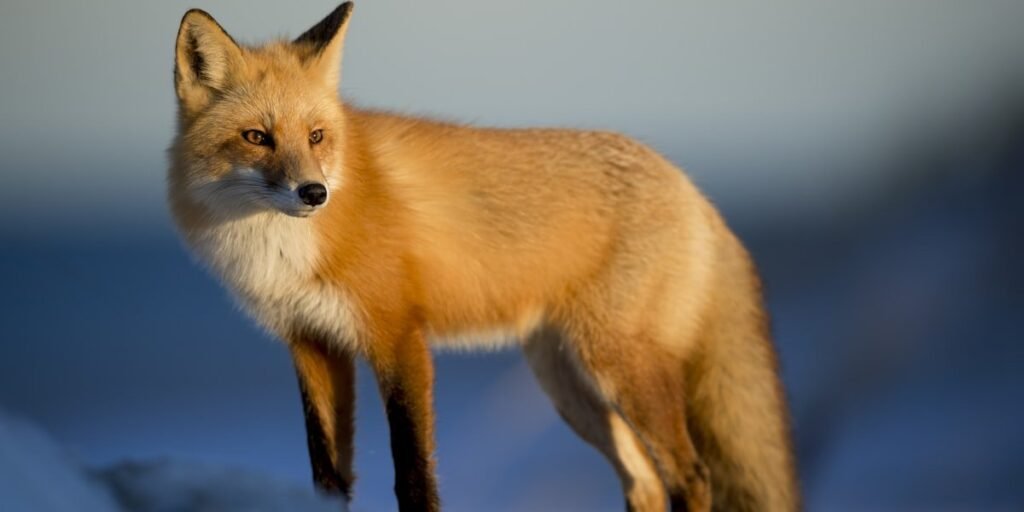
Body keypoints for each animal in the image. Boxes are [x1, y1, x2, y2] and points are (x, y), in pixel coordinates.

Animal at [168, 2, 798, 511]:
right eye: (257, 137)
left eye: (317, 136)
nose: (314, 193)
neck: (282, 251)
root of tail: (691, 187)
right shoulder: (312, 344)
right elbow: (327, 477)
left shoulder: (399, 338)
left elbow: (414, 477)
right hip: (569, 386)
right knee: (643, 481)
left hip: (621, 369)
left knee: (690, 476)